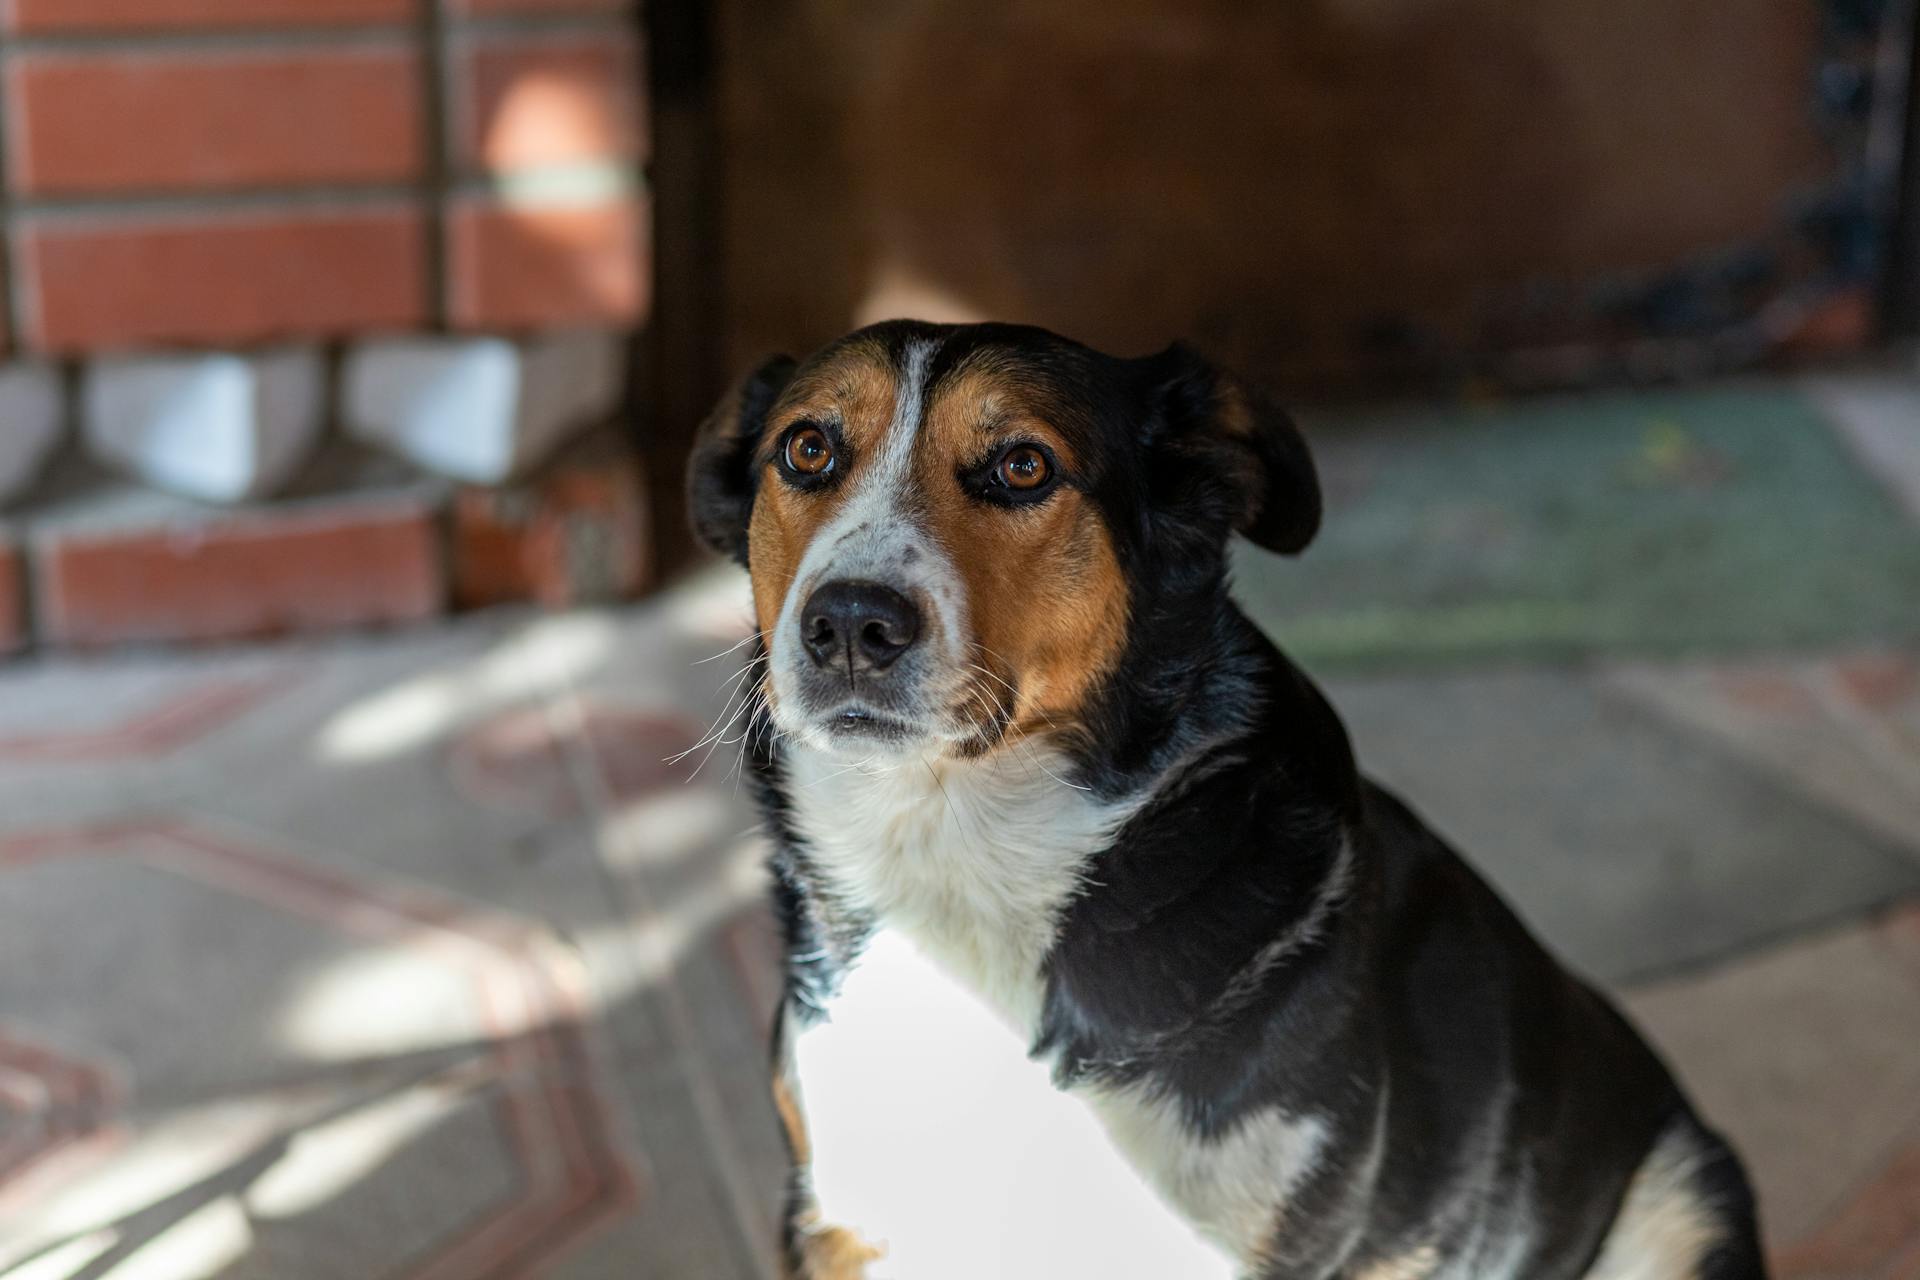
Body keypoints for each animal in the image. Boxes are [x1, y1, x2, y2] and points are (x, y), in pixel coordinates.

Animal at [691, 320, 1766, 1280]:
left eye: (1025, 467)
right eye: (807, 448)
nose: (849, 625)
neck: (958, 854)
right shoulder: (835, 1224)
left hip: (1683, 1199)